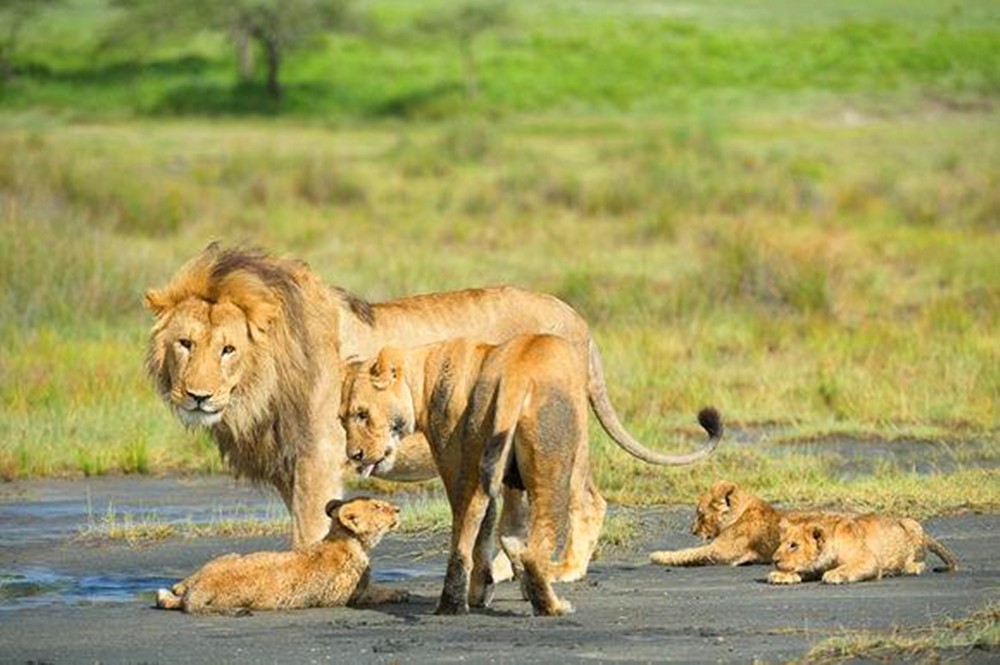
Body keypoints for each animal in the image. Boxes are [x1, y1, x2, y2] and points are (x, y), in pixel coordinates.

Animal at [146, 244, 720, 548]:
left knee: (586, 498)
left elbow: (308, 529)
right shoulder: (289, 464)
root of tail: (571, 314)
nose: (198, 396)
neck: (257, 387)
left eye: (228, 348)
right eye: (185, 343)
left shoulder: (318, 457)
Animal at [156, 496, 406, 616]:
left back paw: (173, 590)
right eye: (377, 507)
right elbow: (374, 593)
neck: (347, 538)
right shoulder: (344, 596)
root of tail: (203, 585)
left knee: (170, 598)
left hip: (226, 557)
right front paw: (398, 593)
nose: (398, 509)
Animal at [340, 334, 724, 616]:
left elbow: (487, 532)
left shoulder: (467, 468)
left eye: (360, 414)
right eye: (343, 419)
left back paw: (453, 605)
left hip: (483, 458)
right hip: (561, 460)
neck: (424, 375)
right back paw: (552, 604)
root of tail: (516, 374)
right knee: (543, 541)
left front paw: (484, 591)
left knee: (468, 539)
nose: (353, 456)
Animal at [764, 510, 960, 584]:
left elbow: (849, 567)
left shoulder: (868, 559)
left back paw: (911, 568)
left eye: (794, 545)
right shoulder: (815, 566)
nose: (774, 560)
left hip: (913, 524)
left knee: (920, 561)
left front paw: (835, 574)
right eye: (781, 543)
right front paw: (781, 576)